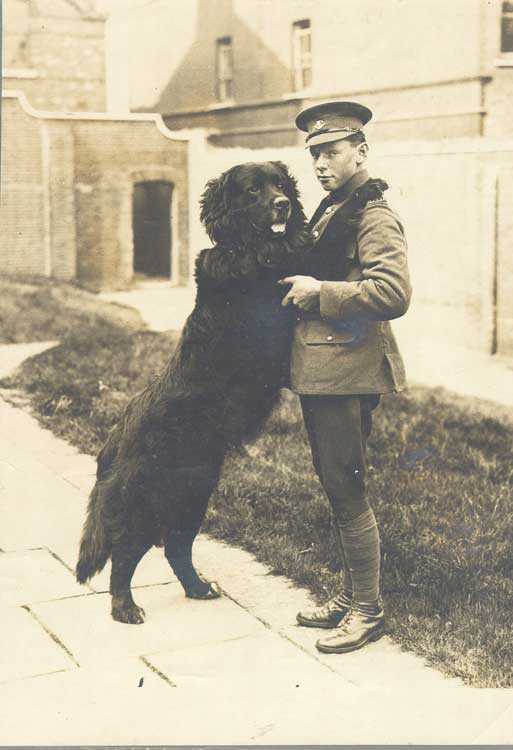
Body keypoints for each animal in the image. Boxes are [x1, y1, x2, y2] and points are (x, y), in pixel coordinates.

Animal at [75, 162, 308, 624]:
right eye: (253, 189)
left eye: (280, 184)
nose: (283, 204)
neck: (241, 244)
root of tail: (113, 441)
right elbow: (294, 250)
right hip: (148, 501)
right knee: (124, 554)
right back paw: (125, 607)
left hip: (192, 496)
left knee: (176, 550)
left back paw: (198, 589)